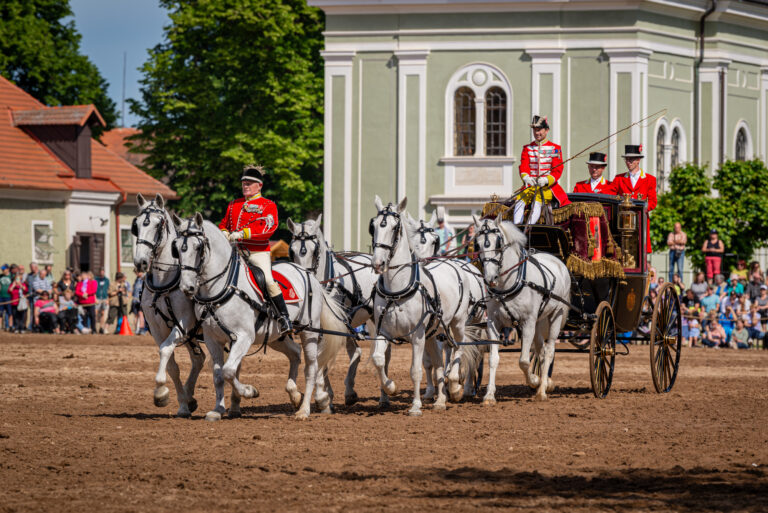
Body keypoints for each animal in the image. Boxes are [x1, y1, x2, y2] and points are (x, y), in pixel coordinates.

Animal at [132, 192, 206, 416]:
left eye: (159, 224)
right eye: (136, 225)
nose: (140, 262)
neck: (163, 282)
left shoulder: (185, 323)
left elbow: (165, 351)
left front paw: (160, 391)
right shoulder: (157, 328)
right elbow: (172, 364)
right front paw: (181, 404)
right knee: (199, 360)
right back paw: (190, 398)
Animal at [172, 214, 346, 418]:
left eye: (198, 247)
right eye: (176, 248)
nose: (187, 287)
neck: (223, 286)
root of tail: (308, 275)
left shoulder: (244, 337)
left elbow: (228, 371)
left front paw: (249, 391)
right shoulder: (212, 339)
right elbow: (218, 375)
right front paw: (217, 410)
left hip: (309, 332)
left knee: (311, 367)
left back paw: (304, 410)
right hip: (275, 337)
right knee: (295, 353)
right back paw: (294, 395)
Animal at [284, 214, 378, 406]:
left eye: (315, 251)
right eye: (292, 250)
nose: (304, 276)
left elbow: (321, 356)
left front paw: (321, 395)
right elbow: (321, 358)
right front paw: (326, 394)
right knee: (355, 352)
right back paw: (349, 392)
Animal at [368, 196, 472, 416]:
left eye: (395, 227)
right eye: (373, 226)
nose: (378, 263)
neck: (397, 291)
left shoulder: (417, 335)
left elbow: (415, 370)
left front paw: (415, 406)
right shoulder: (384, 332)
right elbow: (378, 359)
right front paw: (390, 387)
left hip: (457, 323)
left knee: (459, 347)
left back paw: (454, 385)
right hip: (433, 332)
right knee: (439, 364)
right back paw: (441, 400)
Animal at [474, 213, 568, 400]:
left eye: (498, 243)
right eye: (477, 244)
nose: (490, 278)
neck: (509, 284)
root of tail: (557, 260)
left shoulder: (528, 323)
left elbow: (523, 361)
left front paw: (534, 380)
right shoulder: (493, 322)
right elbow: (493, 359)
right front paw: (489, 395)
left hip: (556, 315)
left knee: (549, 350)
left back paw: (542, 390)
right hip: (540, 320)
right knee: (540, 349)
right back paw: (546, 382)